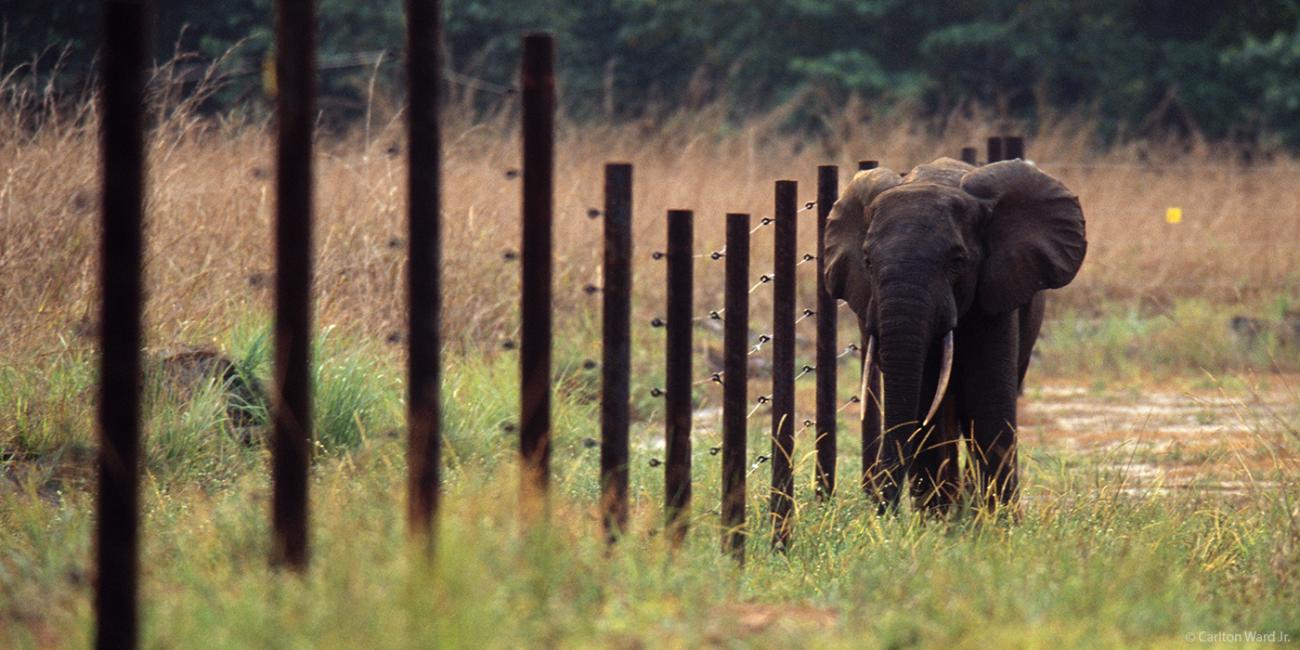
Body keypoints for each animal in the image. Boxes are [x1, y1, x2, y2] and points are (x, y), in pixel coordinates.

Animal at [821, 156, 1086, 512]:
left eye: (957, 262)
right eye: (868, 262)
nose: (883, 511)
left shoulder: (996, 293)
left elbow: (987, 394)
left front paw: (997, 519)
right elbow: (924, 404)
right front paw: (937, 520)